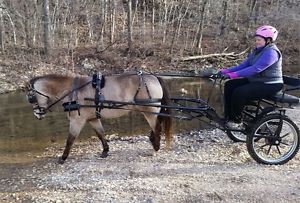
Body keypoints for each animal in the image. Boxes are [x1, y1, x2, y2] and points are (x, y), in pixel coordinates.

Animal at [25, 73, 172, 163]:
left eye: (31, 98)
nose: (37, 114)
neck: (71, 91)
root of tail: (154, 77)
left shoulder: (77, 121)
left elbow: (70, 140)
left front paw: (63, 157)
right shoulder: (93, 119)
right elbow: (101, 134)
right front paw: (105, 151)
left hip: (149, 111)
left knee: (157, 127)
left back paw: (156, 146)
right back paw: (153, 141)